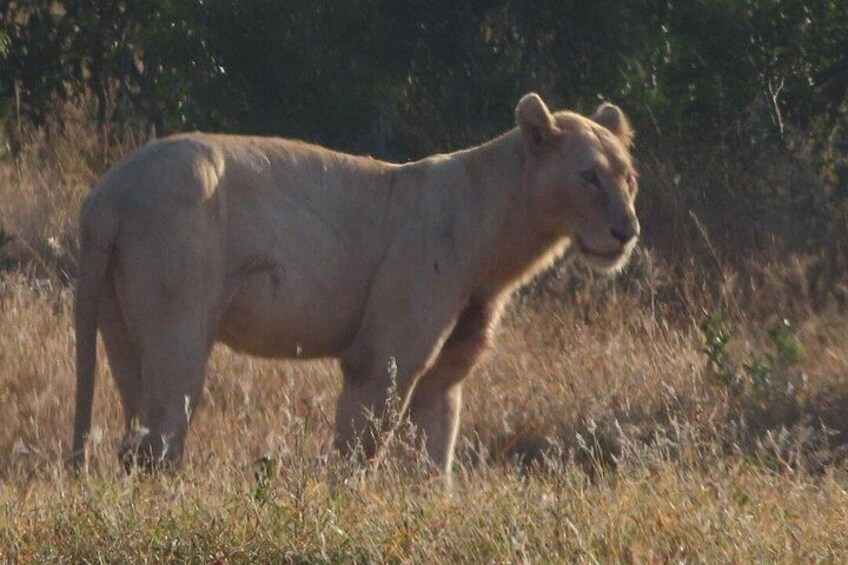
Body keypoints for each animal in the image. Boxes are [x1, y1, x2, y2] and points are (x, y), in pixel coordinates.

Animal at [72, 93, 639, 474]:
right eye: (590, 176)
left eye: (629, 178)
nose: (627, 231)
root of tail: (107, 193)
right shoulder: (383, 352)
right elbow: (360, 445)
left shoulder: (446, 368)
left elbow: (434, 454)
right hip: (178, 304)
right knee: (163, 429)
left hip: (119, 317)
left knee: (135, 423)